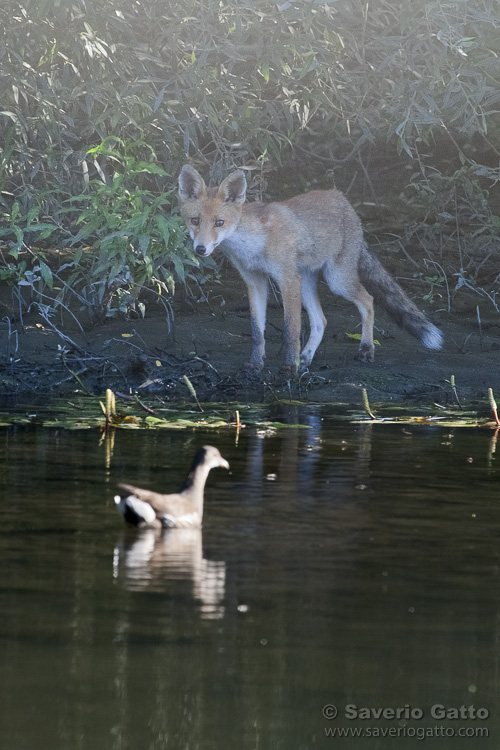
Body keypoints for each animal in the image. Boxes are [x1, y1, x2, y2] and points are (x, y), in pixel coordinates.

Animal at [178, 167, 444, 374]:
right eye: (195, 221)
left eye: (219, 223)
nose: (200, 249)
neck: (254, 243)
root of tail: (343, 199)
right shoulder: (255, 281)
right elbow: (257, 332)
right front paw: (257, 364)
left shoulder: (287, 279)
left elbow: (291, 330)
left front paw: (290, 367)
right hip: (307, 283)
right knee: (321, 321)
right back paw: (306, 358)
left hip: (336, 280)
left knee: (368, 300)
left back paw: (366, 349)